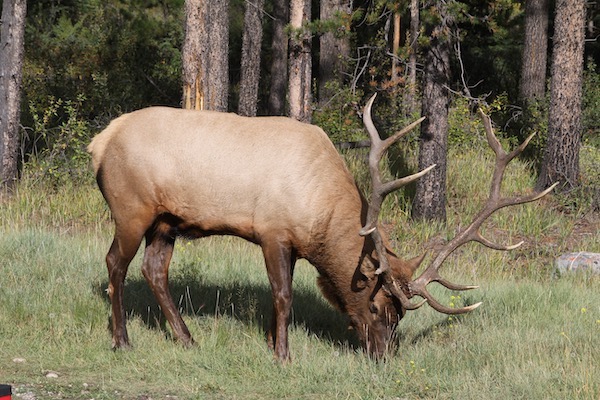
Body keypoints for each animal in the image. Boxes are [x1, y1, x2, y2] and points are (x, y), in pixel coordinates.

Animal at [86, 94, 556, 362]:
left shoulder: (293, 243)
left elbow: (282, 295)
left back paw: (187, 340)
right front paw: (283, 355)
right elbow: (283, 296)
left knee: (154, 270)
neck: (320, 217)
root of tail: (100, 143)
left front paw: (274, 345)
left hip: (167, 221)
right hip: (131, 208)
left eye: (401, 316)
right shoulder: (273, 231)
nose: (383, 356)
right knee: (115, 264)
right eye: (376, 307)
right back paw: (122, 341)